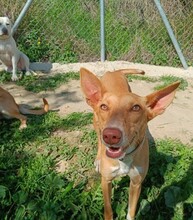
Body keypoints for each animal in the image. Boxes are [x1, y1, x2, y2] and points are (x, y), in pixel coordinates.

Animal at [80, 68, 179, 219]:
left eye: (136, 108)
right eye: (104, 106)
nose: (111, 135)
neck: (124, 158)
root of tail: (113, 71)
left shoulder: (136, 183)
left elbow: (131, 212)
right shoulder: (106, 181)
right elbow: (108, 210)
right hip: (96, 122)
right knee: (98, 140)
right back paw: (98, 158)